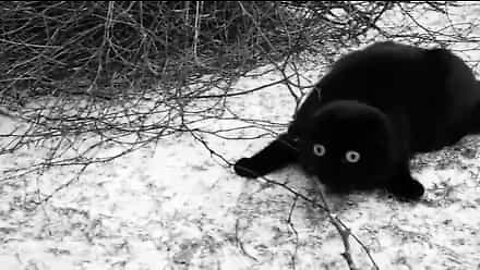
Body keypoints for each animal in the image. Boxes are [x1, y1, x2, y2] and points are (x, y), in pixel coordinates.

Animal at [234, 41, 480, 199]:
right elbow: (275, 149)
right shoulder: (297, 132)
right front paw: (247, 166)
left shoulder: (397, 138)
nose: (330, 172)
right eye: (319, 150)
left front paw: (408, 187)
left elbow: (396, 164)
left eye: (353, 156)